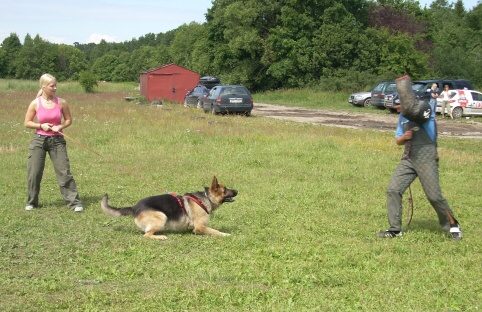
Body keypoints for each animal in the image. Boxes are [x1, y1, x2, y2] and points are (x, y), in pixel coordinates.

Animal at [101, 177, 237, 240]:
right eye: (225, 190)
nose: (237, 191)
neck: (206, 197)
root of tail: (134, 207)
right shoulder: (200, 227)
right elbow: (216, 231)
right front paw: (225, 234)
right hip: (162, 216)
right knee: (146, 235)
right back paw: (160, 237)